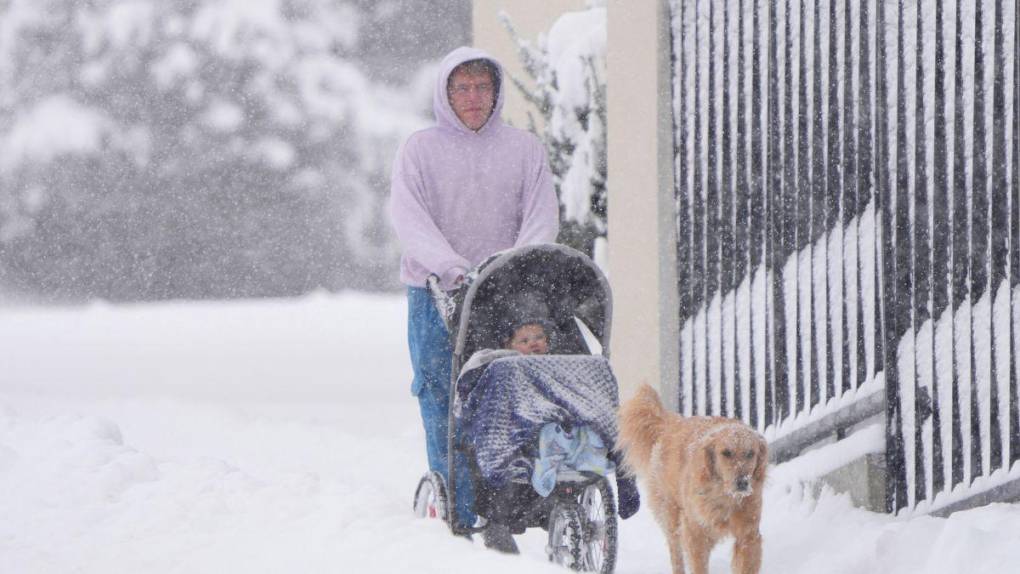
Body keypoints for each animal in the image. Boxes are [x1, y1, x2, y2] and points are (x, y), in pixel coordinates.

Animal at [612, 383, 767, 574]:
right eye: (726, 453)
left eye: (750, 453)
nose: (742, 483)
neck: (724, 496)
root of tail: (670, 425)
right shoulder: (695, 534)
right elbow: (697, 564)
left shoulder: (748, 535)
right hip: (671, 516)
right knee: (676, 552)